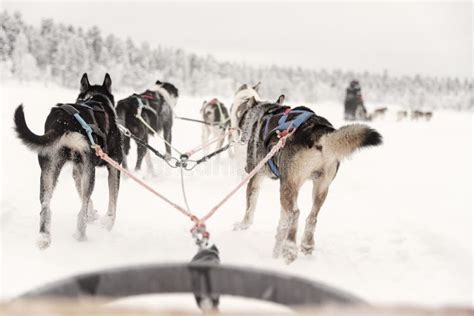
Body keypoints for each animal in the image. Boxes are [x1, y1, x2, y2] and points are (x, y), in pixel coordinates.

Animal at [14, 74, 123, 249]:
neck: (96, 99)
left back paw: (44, 238)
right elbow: (112, 199)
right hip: (88, 170)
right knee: (82, 209)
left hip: (48, 172)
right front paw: (108, 222)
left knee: (46, 207)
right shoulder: (114, 166)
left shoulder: (76, 171)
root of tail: (63, 123)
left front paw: (93, 215)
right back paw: (80, 235)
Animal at [233, 97, 382, 264]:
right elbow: (282, 222)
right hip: (320, 188)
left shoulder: (255, 176)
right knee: (311, 217)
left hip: (288, 186)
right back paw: (306, 244)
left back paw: (290, 248)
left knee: (295, 213)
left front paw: (242, 225)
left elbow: (249, 209)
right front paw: (277, 247)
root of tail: (319, 134)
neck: (263, 114)